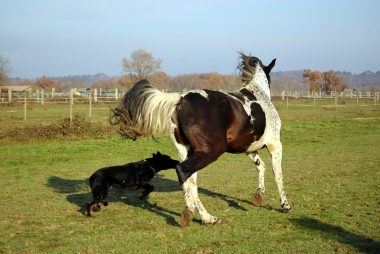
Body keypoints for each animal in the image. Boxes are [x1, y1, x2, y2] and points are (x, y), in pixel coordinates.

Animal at [108, 52, 292, 227]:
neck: (258, 96)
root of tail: (181, 99)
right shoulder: (275, 145)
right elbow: (278, 174)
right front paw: (285, 205)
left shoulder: (248, 148)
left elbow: (261, 166)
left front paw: (259, 195)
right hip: (210, 151)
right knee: (183, 171)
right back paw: (198, 215)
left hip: (188, 152)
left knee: (191, 180)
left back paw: (203, 216)